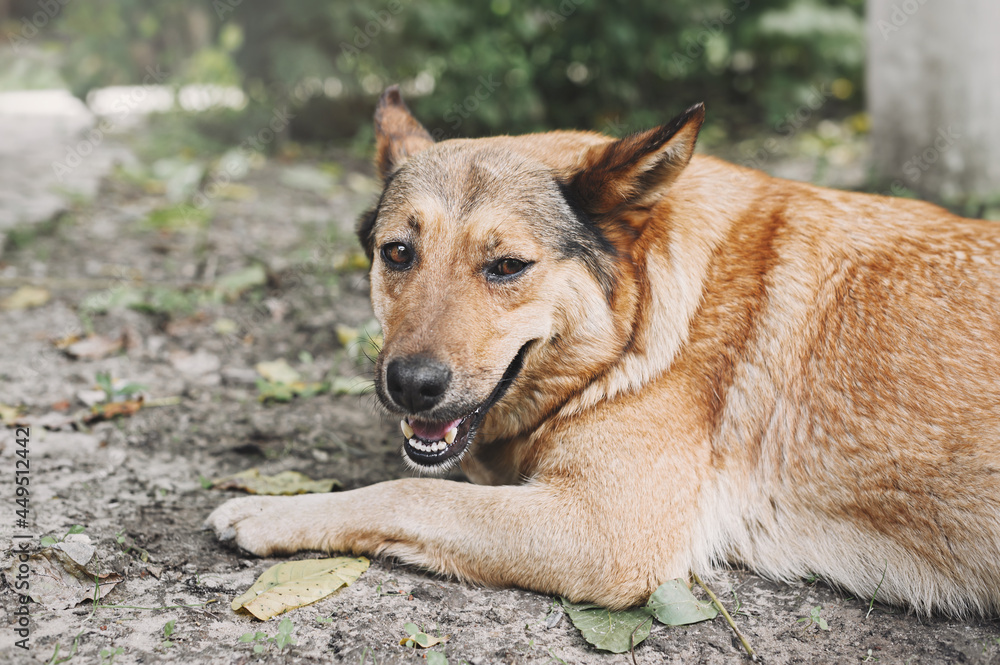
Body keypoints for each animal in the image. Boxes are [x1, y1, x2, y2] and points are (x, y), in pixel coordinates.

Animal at [205, 85, 1000, 616]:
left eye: (507, 266)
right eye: (398, 253)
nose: (411, 385)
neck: (639, 322)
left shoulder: (605, 532)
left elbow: (410, 490)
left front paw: (272, 513)